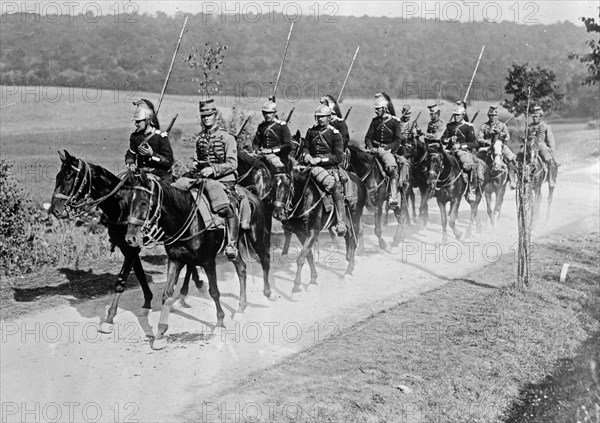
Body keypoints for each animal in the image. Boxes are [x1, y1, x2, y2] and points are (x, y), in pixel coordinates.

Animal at [49, 151, 204, 332]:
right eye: (58, 176)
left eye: (69, 176)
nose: (55, 210)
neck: (122, 204)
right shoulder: (127, 246)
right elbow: (139, 274)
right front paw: (147, 303)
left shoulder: (132, 247)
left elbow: (121, 280)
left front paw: (109, 317)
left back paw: (186, 293)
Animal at [127, 172, 276, 352]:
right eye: (129, 201)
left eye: (143, 202)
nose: (130, 238)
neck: (186, 218)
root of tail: (252, 194)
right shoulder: (175, 260)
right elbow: (167, 294)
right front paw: (160, 335)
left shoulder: (208, 261)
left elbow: (215, 292)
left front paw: (220, 323)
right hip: (235, 248)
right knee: (241, 269)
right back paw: (241, 308)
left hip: (256, 236)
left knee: (265, 259)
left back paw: (268, 292)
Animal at [270, 159, 366, 294]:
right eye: (272, 186)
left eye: (287, 186)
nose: (277, 214)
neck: (305, 197)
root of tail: (359, 181)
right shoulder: (300, 233)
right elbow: (308, 255)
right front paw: (313, 280)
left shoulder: (313, 231)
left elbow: (301, 257)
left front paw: (296, 286)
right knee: (348, 236)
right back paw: (349, 261)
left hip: (355, 218)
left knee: (353, 238)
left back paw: (348, 271)